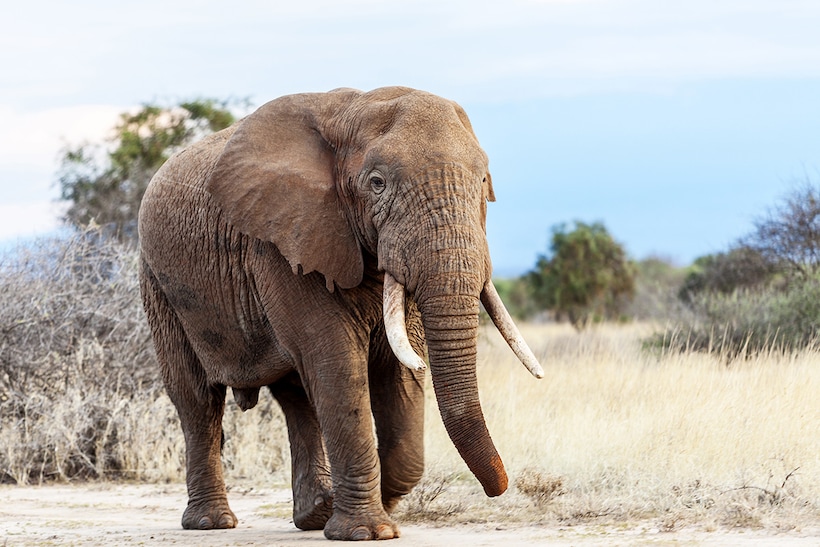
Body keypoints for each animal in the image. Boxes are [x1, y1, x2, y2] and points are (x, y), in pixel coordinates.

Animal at [138, 85, 540, 540]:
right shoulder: (284, 241)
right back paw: (211, 523)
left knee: (297, 397)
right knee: (197, 400)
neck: (356, 108)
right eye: (377, 184)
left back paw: (315, 514)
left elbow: (398, 372)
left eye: (483, 182)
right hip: (158, 284)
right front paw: (368, 532)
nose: (499, 488)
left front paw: (372, 508)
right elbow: (338, 366)